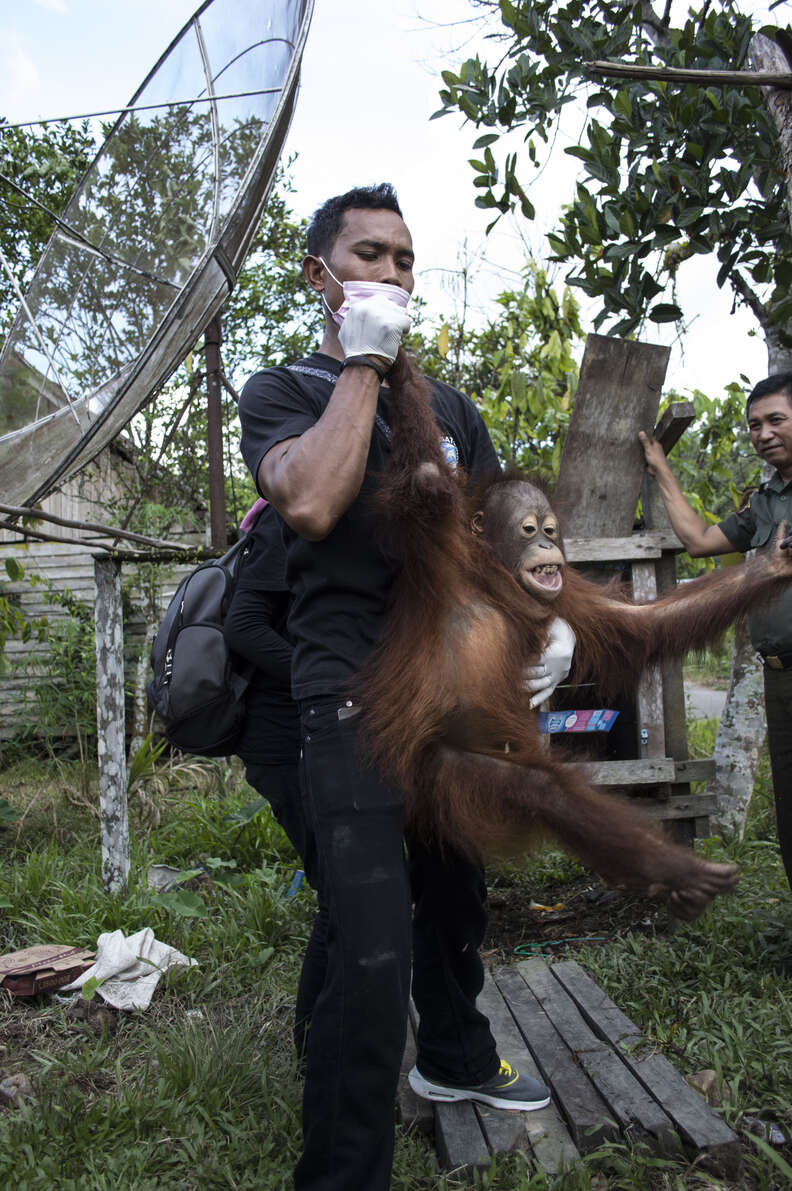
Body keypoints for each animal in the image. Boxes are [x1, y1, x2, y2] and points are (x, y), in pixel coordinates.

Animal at [354, 351, 792, 920]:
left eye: (551, 529)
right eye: (528, 530)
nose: (548, 547)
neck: (494, 581)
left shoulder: (570, 598)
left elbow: (642, 623)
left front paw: (771, 566)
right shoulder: (438, 548)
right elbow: (427, 479)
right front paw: (396, 361)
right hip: (433, 771)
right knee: (538, 789)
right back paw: (677, 872)